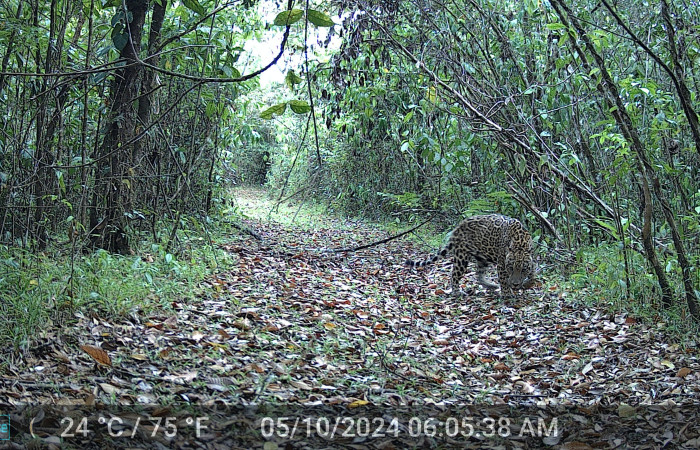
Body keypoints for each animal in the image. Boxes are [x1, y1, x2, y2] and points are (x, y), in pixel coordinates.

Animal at [405, 214, 536, 294]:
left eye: (523, 269)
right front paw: (507, 294)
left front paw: (527, 284)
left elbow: (533, 273)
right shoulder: (501, 263)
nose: (515, 285)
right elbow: (503, 279)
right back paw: (457, 292)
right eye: (510, 268)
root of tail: (458, 227)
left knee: (479, 275)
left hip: (482, 257)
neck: (520, 244)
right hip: (462, 257)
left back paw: (491, 285)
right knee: (454, 274)